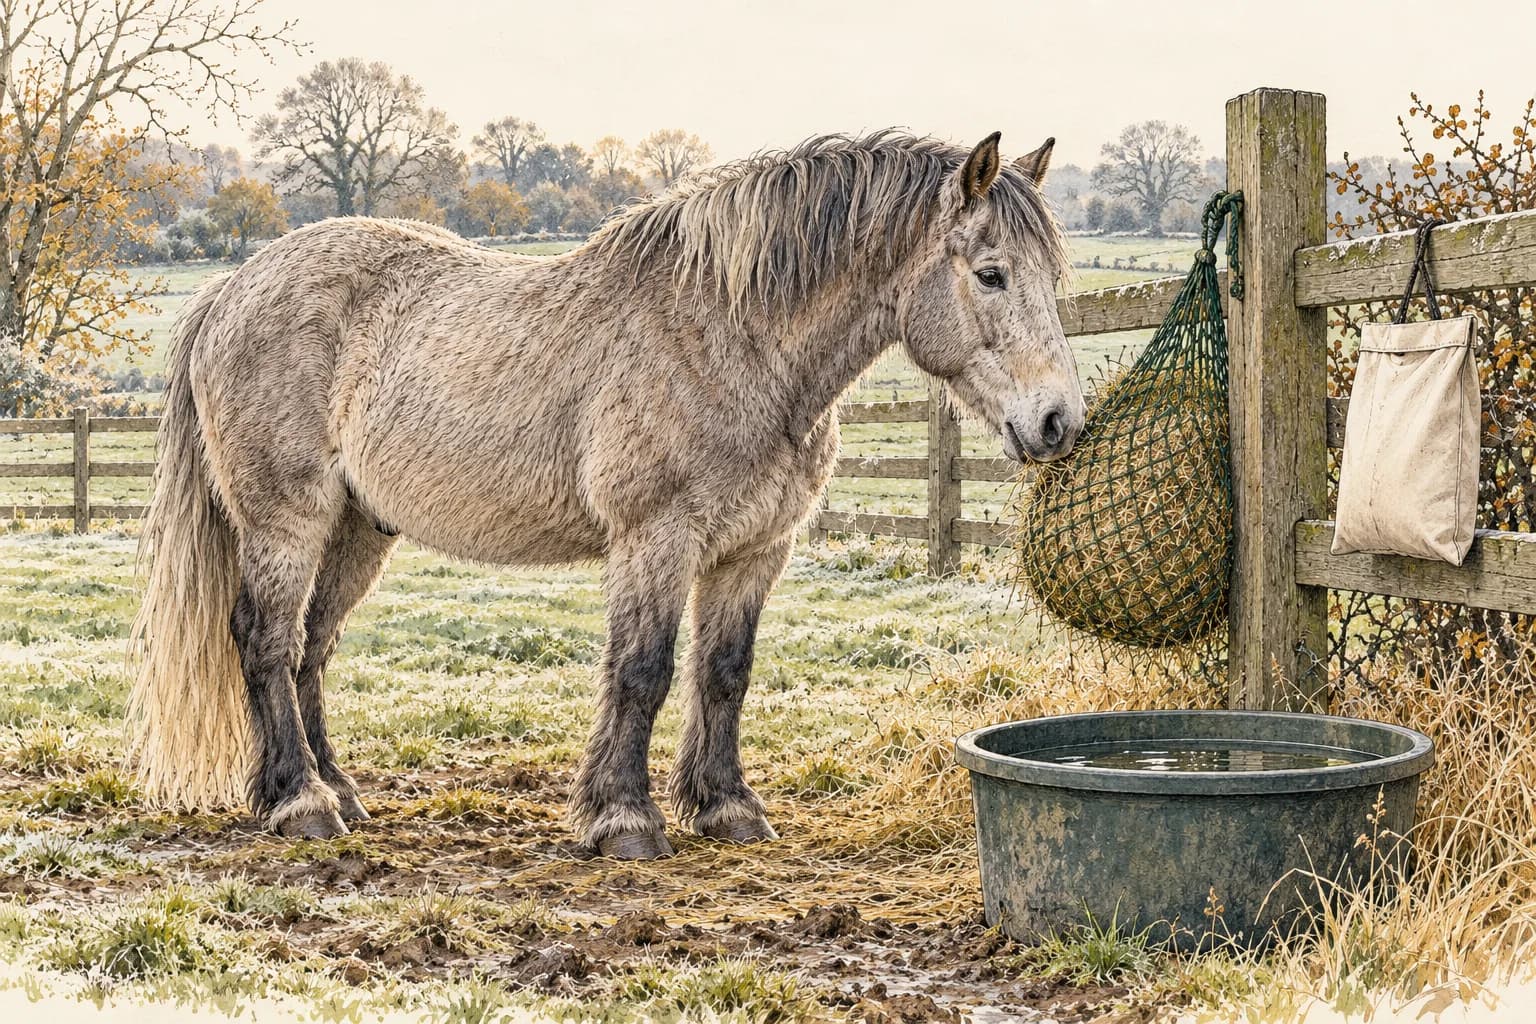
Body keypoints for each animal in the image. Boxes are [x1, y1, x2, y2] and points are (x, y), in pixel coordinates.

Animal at [127, 130, 1084, 860]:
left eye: (1052, 280)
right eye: (992, 273)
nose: (1057, 421)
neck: (731, 338)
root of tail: (230, 290)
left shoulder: (753, 550)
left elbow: (723, 673)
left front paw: (727, 807)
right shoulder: (655, 538)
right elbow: (642, 671)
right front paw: (623, 819)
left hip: (360, 528)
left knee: (310, 649)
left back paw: (337, 791)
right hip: (286, 519)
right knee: (265, 642)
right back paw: (300, 804)